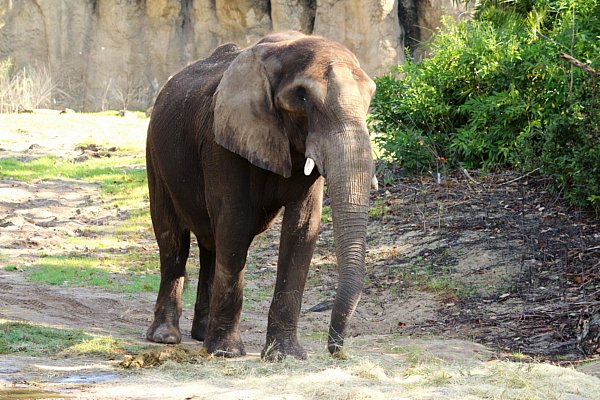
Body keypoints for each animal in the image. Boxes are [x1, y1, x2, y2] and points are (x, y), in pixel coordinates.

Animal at [145, 31, 376, 360]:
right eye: (302, 96)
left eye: (371, 95)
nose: (336, 351)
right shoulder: (223, 141)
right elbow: (235, 222)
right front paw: (226, 353)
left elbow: (302, 228)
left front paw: (286, 356)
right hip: (155, 154)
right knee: (173, 238)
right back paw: (166, 337)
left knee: (210, 242)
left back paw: (201, 335)